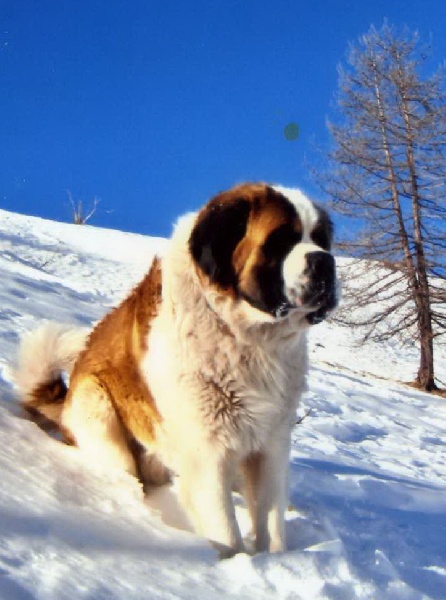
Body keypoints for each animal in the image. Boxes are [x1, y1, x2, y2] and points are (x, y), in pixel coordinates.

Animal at [14, 183, 338, 556]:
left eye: (321, 240)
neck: (246, 337)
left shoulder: (271, 444)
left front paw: (274, 560)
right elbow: (226, 530)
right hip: (98, 409)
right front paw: (236, 562)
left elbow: (271, 524)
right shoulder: (207, 450)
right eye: (281, 240)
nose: (325, 261)